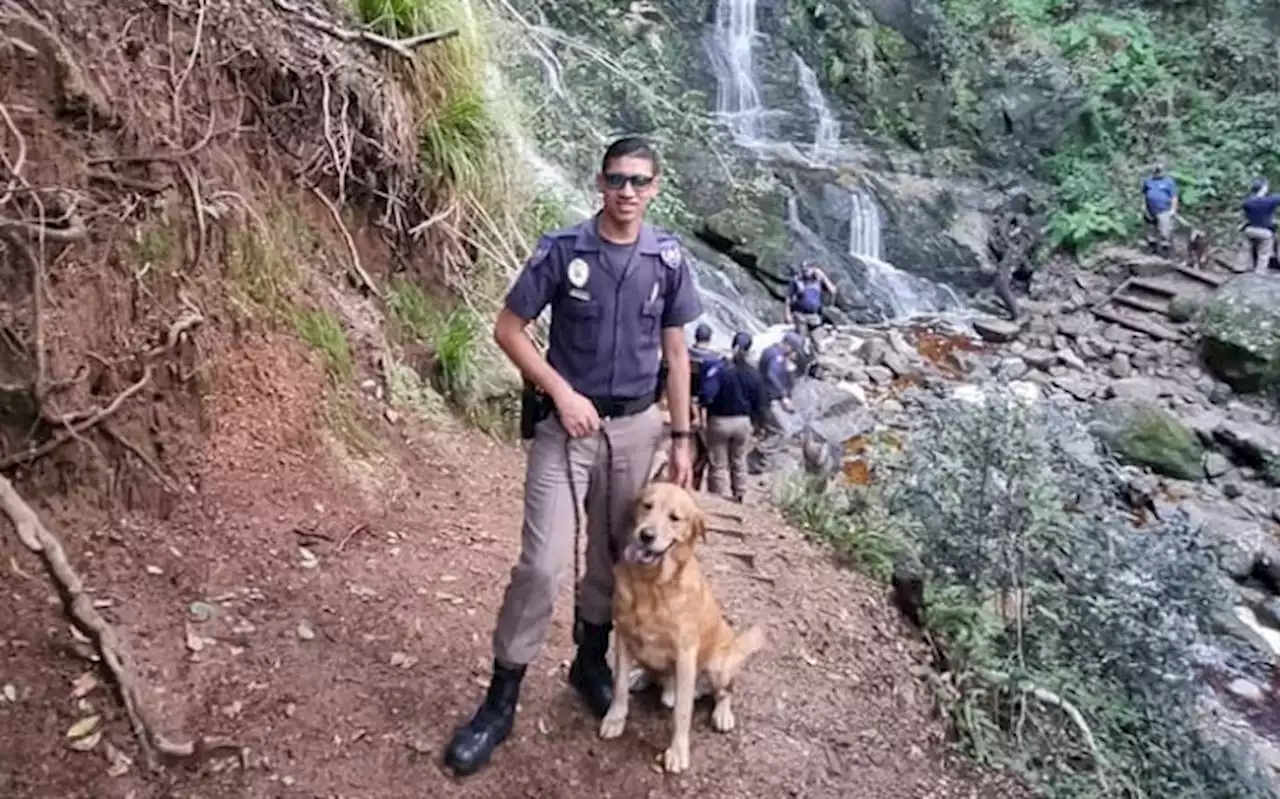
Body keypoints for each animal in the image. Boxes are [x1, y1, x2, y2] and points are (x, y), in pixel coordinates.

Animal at [596, 484, 762, 773]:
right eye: (647, 506)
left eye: (675, 518)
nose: (646, 535)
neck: (651, 584)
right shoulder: (623, 637)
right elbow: (618, 687)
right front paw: (615, 719)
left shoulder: (685, 655)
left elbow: (682, 712)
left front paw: (678, 752)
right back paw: (641, 677)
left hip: (718, 666)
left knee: (726, 691)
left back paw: (723, 714)